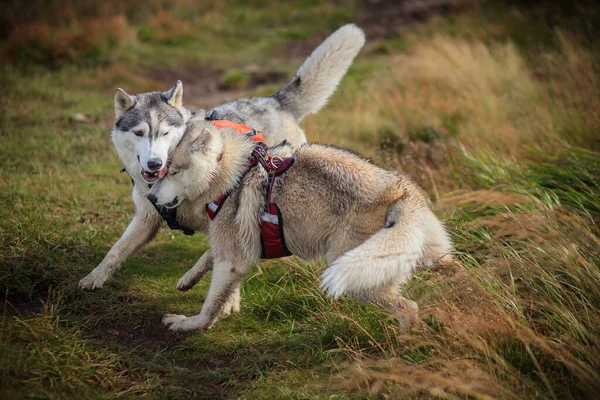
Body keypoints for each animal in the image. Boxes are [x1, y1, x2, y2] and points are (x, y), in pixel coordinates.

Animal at [79, 24, 366, 290]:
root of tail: (275, 101)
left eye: (165, 133)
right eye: (139, 133)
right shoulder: (146, 218)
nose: (154, 164)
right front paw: (94, 278)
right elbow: (115, 251)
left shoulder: (229, 216)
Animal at [148, 119, 452, 332]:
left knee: (409, 307)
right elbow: (205, 258)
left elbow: (209, 308)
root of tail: (401, 190)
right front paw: (187, 279)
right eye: (160, 171)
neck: (231, 176)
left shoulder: (233, 260)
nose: (150, 198)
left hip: (353, 276)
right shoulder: (235, 247)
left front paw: (187, 324)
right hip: (428, 256)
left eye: (173, 171)